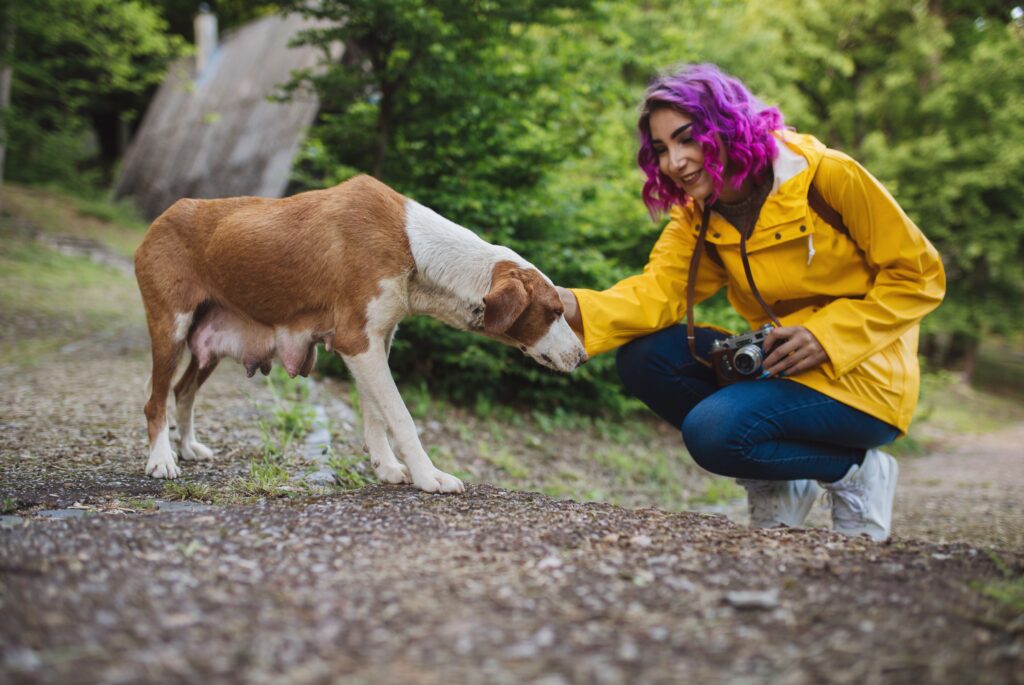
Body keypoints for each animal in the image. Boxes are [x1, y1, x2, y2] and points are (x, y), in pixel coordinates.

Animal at [133, 174, 589, 489]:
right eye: (554, 311)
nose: (583, 357)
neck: (416, 249)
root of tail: (161, 217)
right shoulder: (358, 342)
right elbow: (401, 416)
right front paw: (429, 476)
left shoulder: (377, 342)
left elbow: (376, 414)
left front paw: (386, 467)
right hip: (170, 330)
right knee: (156, 401)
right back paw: (162, 460)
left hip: (207, 343)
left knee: (183, 392)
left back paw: (187, 447)